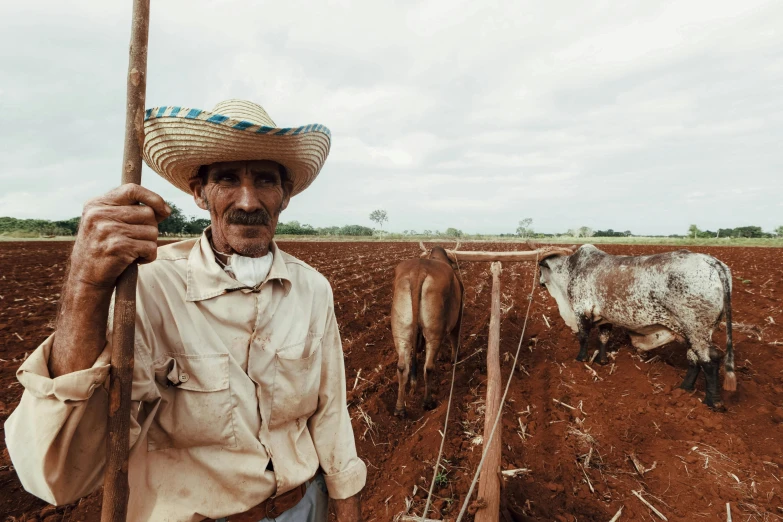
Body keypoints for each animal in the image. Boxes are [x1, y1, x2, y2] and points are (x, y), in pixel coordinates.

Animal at [390, 246, 462, 416]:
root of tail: (419, 272)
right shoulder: (457, 318)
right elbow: (454, 339)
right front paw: (454, 359)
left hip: (401, 332)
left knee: (402, 367)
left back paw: (400, 408)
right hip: (433, 334)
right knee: (428, 367)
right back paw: (428, 402)